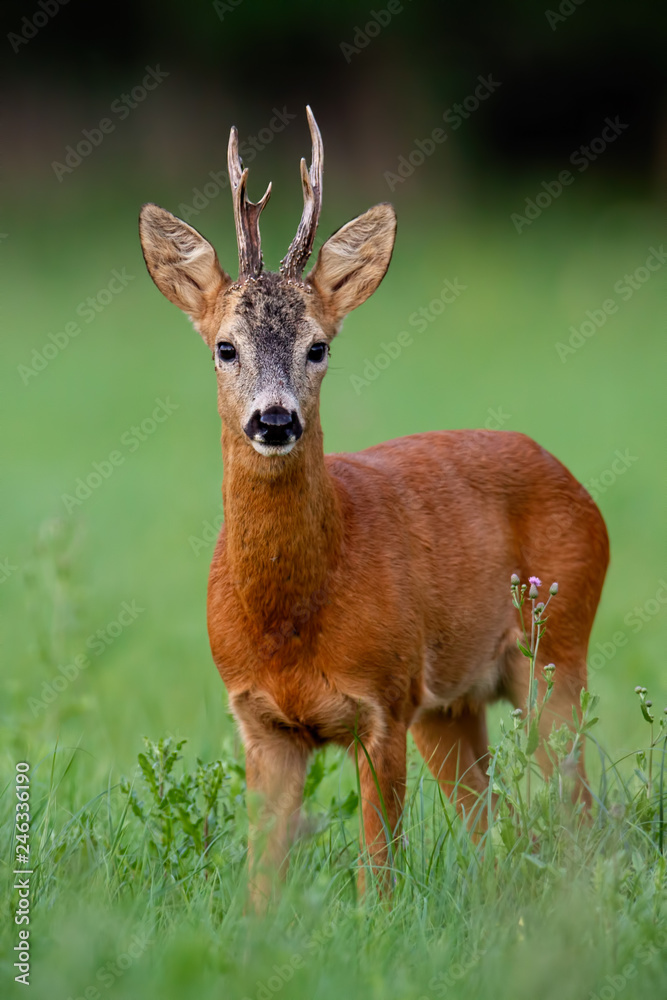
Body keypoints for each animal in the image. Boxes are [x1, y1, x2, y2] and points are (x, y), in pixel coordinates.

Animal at [141, 105, 612, 904]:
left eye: (319, 347)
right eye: (225, 348)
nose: (275, 419)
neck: (291, 620)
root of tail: (572, 480)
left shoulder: (383, 700)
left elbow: (378, 871)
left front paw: (373, 930)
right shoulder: (260, 721)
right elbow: (261, 879)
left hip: (554, 647)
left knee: (576, 810)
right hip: (452, 702)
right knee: (488, 821)